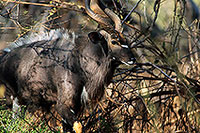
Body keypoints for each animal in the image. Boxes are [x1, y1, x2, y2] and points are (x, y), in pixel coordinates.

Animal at [0, 0, 135, 132]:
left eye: (126, 40)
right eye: (114, 41)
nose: (132, 59)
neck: (80, 62)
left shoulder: (76, 106)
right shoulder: (63, 105)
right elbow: (79, 126)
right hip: (12, 101)